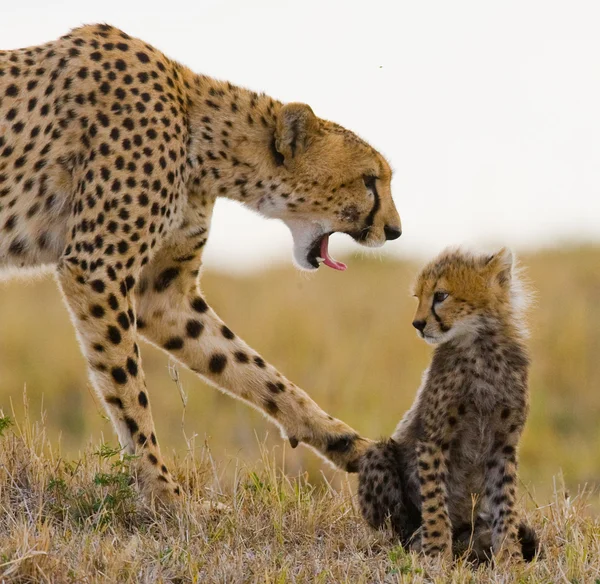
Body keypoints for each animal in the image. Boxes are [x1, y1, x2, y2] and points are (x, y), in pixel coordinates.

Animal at [1, 26, 404, 502]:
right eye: (369, 181)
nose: (395, 231)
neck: (203, 139)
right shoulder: (97, 267)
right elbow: (129, 390)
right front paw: (164, 495)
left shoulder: (161, 295)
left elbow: (251, 368)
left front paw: (345, 442)